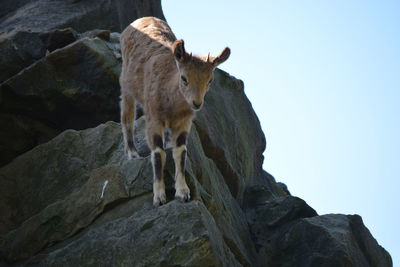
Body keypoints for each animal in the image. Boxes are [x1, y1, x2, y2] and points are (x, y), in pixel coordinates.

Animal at [119, 16, 231, 207]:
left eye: (210, 80)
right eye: (184, 78)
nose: (196, 103)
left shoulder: (184, 122)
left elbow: (181, 152)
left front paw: (183, 193)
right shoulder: (153, 118)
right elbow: (158, 154)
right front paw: (159, 197)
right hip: (126, 85)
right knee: (127, 116)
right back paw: (132, 153)